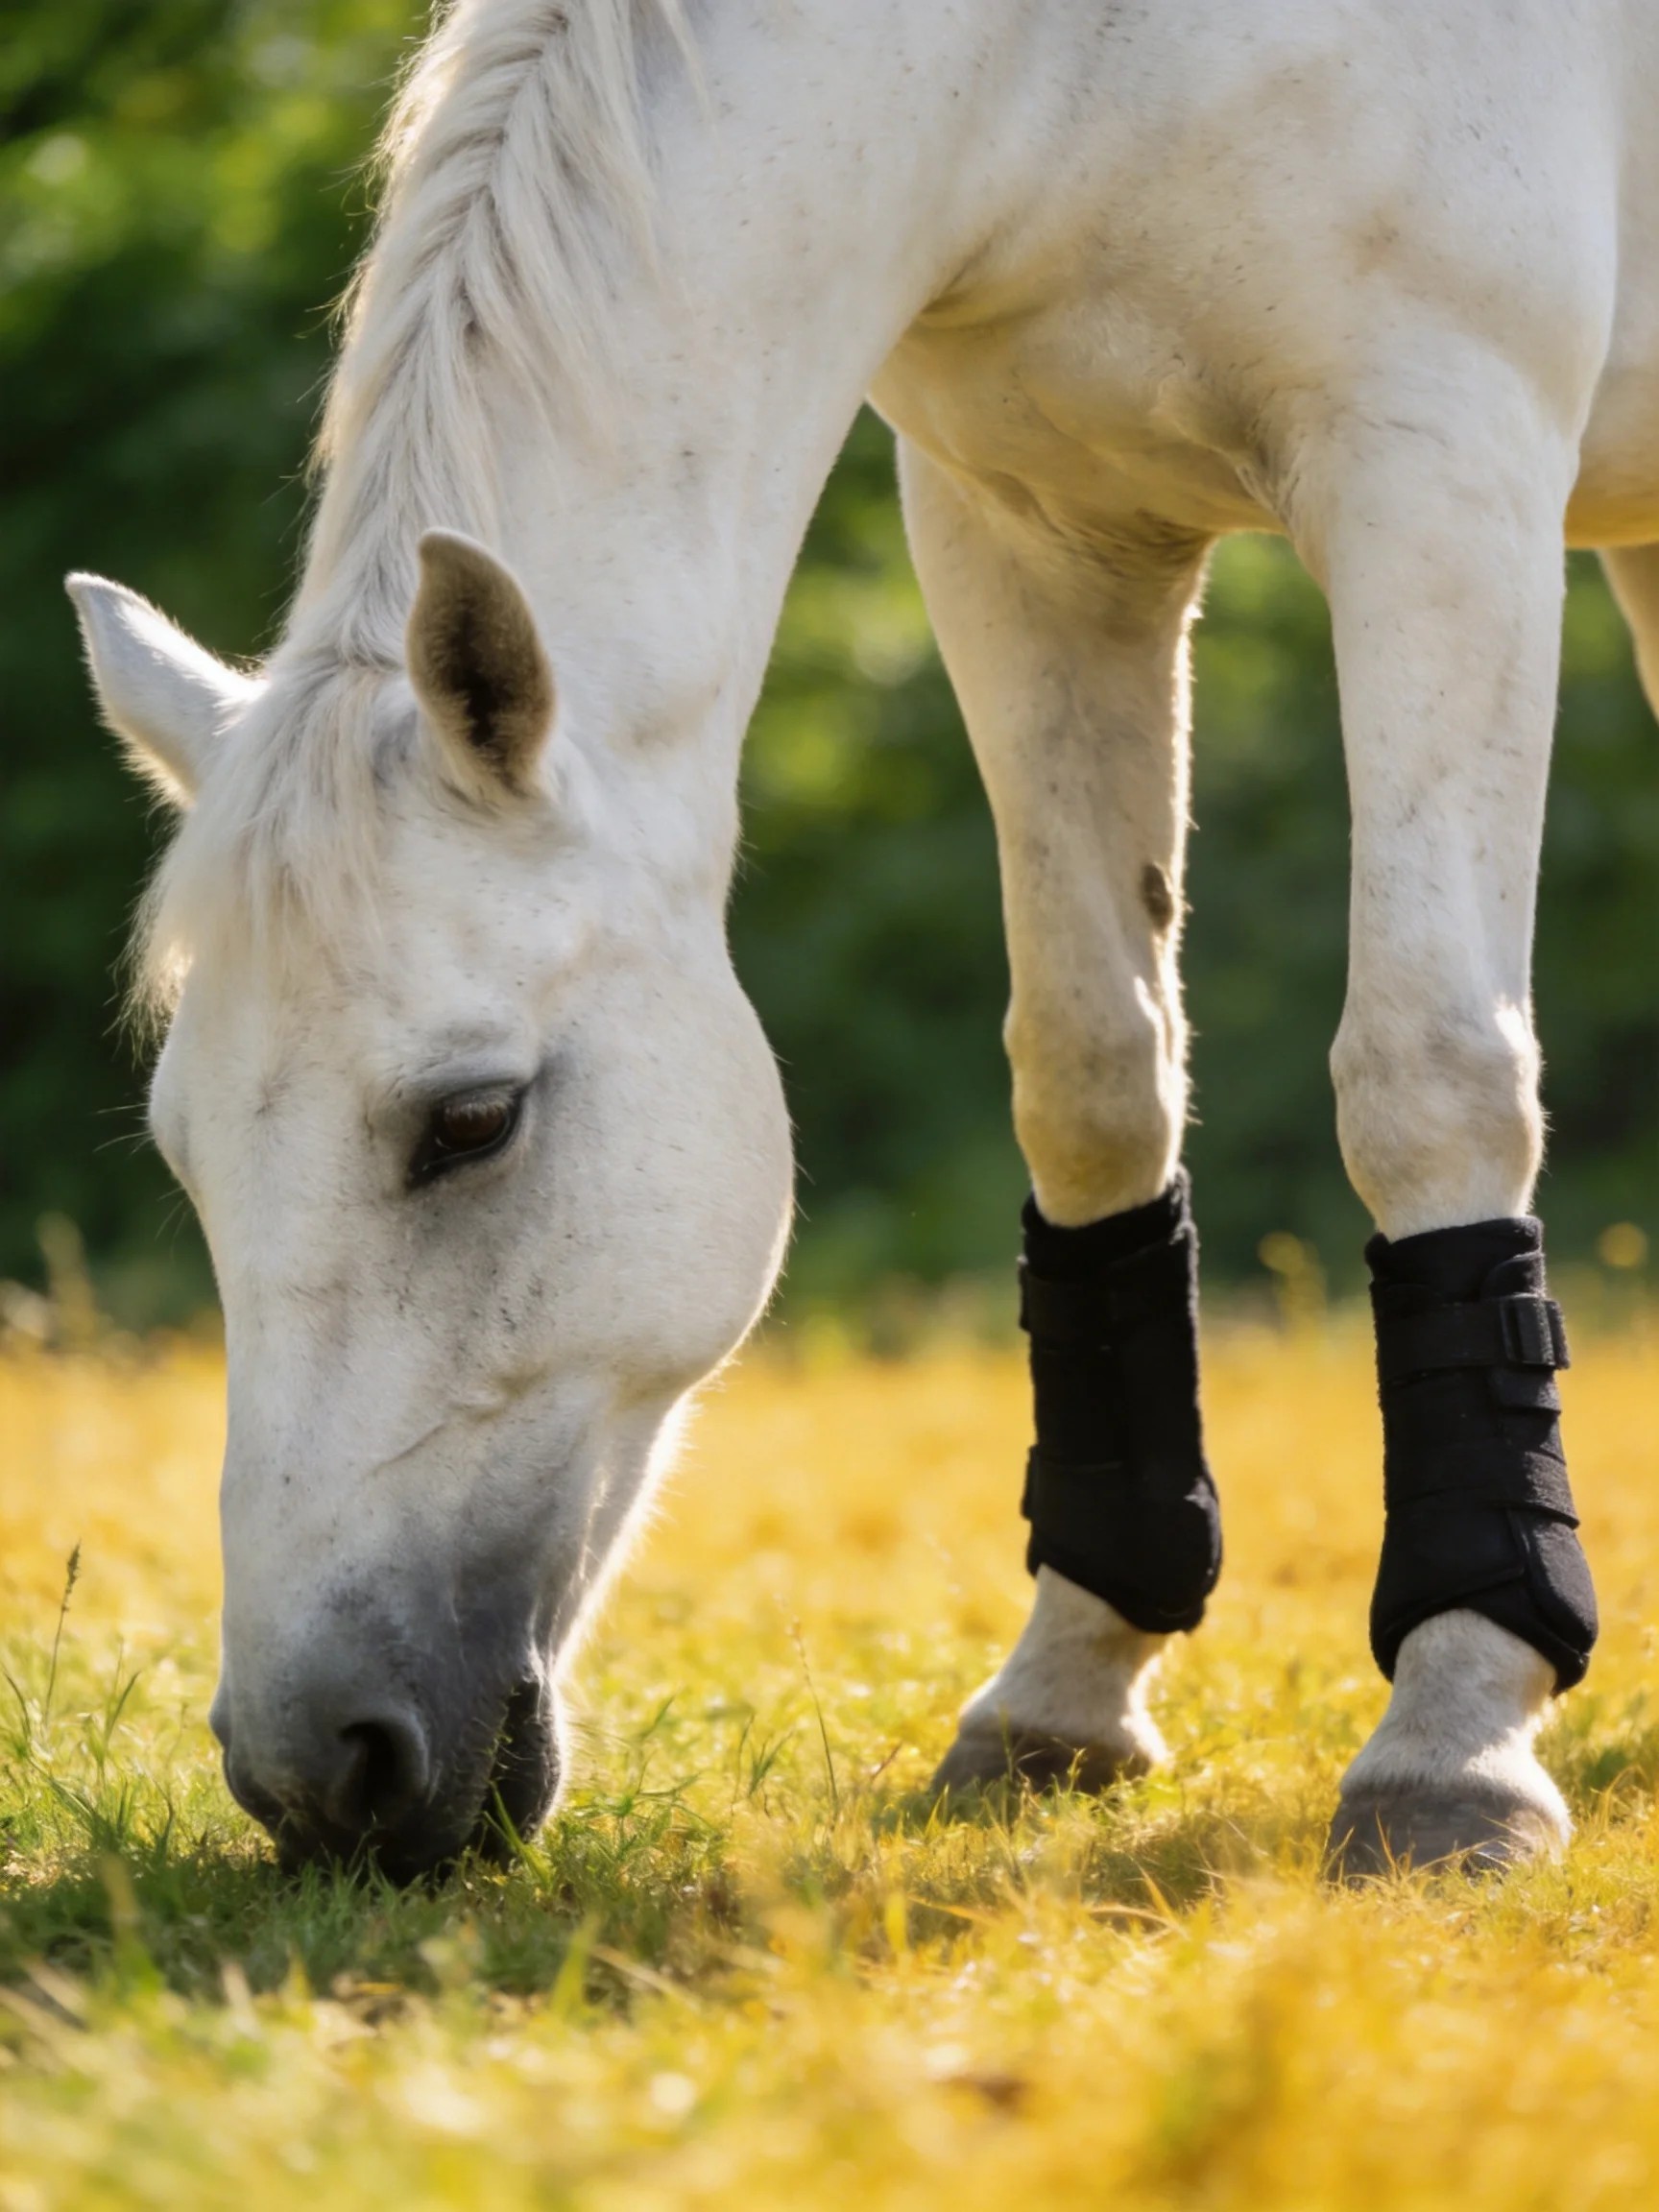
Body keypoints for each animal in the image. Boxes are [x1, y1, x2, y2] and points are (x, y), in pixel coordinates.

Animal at [66, 0, 1656, 1881]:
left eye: (470, 1121)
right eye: (185, 1155)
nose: (318, 1771)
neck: (1075, 67)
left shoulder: (1442, 472)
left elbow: (1425, 1074)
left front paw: (1456, 1729)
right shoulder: (1030, 526)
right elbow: (1093, 1075)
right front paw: (1064, 1688)